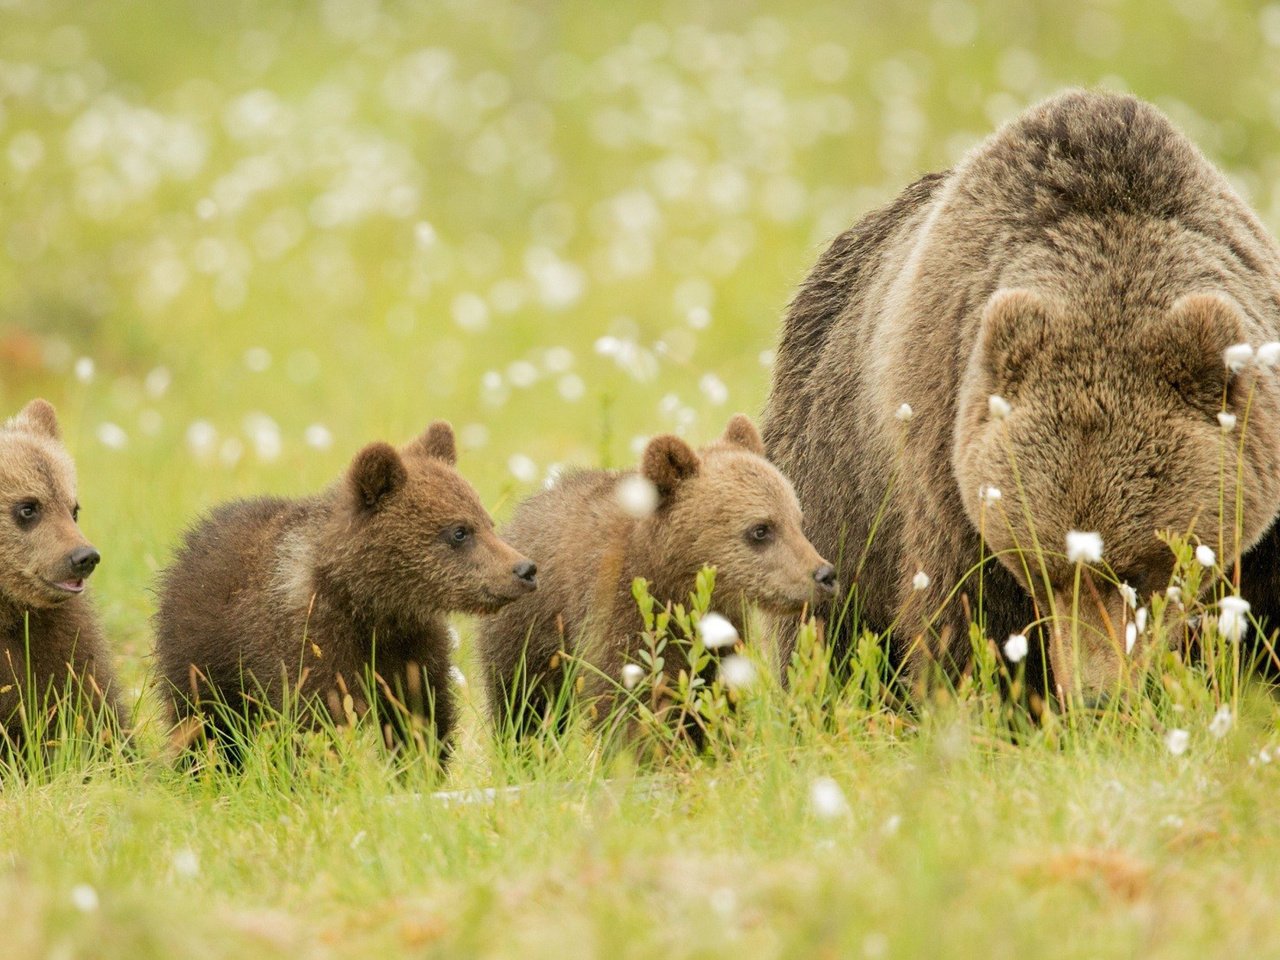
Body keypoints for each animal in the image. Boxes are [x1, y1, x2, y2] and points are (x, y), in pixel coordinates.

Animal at [762, 90, 1280, 701]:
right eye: (1041, 568)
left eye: (1137, 569)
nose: (1097, 695)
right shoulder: (950, 468)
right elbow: (964, 620)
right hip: (836, 481)